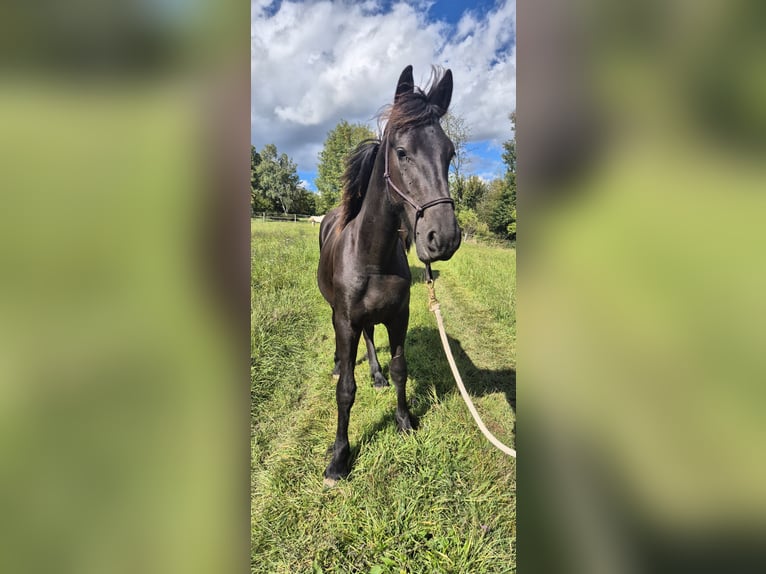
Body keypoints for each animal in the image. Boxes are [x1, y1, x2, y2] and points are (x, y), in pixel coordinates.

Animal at [317, 65, 461, 483]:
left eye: (449, 152)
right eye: (401, 152)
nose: (443, 237)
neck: (372, 256)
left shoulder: (398, 318)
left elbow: (401, 369)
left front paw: (404, 420)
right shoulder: (345, 320)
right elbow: (346, 391)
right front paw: (339, 458)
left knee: (370, 338)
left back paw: (376, 375)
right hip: (336, 313)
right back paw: (339, 364)